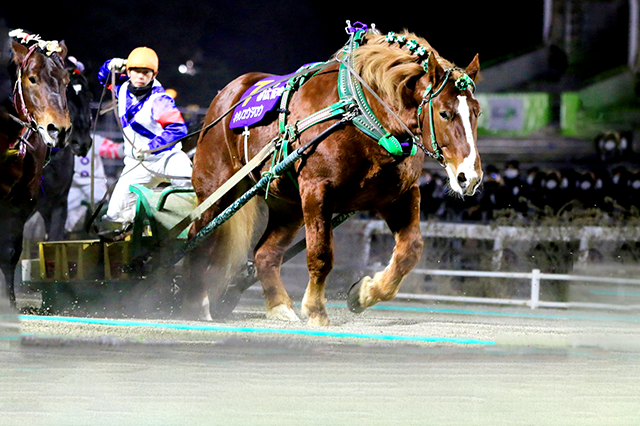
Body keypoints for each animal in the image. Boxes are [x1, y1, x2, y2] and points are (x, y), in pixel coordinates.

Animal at [185, 25, 480, 326]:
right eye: (444, 113)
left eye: (476, 112)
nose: (469, 176)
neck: (360, 113)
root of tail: (227, 95)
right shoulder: (317, 190)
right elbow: (321, 254)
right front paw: (316, 310)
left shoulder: (399, 194)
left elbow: (411, 250)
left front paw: (364, 293)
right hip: (215, 190)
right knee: (197, 238)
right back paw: (194, 302)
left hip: (288, 206)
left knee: (265, 254)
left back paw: (279, 306)